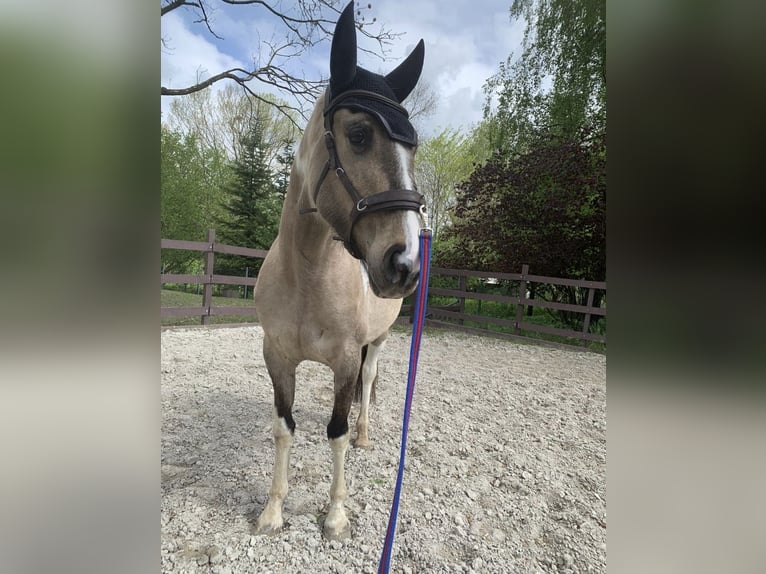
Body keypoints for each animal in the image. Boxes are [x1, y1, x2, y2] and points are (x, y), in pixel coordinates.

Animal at [255, 3, 428, 544]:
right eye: (358, 135)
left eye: (413, 149)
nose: (404, 264)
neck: (307, 274)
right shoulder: (277, 358)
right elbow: (284, 427)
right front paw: (272, 510)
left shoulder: (348, 360)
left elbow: (335, 432)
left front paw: (334, 515)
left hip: (380, 340)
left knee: (368, 388)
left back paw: (365, 434)